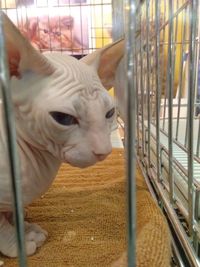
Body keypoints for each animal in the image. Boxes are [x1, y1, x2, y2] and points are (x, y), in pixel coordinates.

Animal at [0, 12, 125, 258]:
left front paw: (25, 228)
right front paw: (17, 242)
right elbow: (0, 225)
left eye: (109, 113)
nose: (104, 152)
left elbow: (11, 213)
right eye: (63, 118)